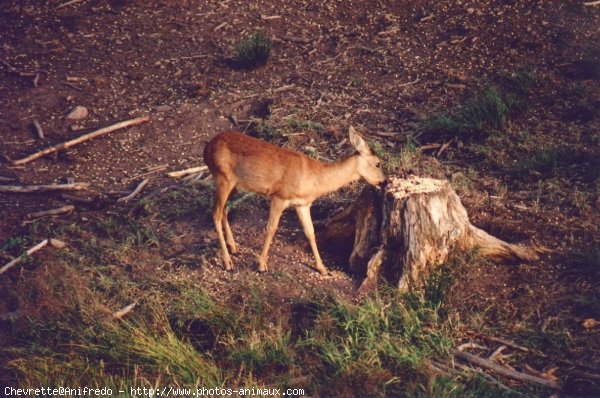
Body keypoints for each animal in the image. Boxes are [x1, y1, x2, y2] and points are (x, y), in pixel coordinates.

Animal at [204, 126, 386, 276]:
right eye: (378, 163)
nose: (384, 182)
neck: (315, 178)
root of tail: (206, 148)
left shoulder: (303, 204)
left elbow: (310, 232)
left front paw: (322, 268)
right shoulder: (279, 196)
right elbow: (271, 228)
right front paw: (262, 265)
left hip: (234, 184)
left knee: (224, 209)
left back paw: (234, 247)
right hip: (223, 177)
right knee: (215, 213)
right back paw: (228, 262)